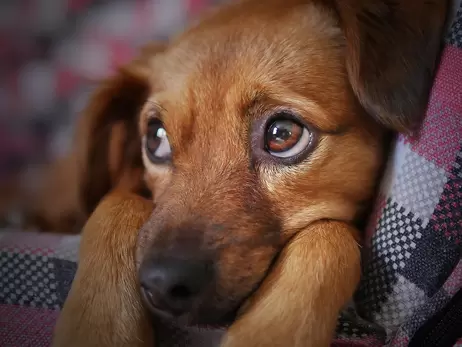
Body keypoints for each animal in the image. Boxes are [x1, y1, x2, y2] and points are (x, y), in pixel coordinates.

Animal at [50, 0, 448, 346]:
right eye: (156, 138)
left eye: (283, 134)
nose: (162, 285)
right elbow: (114, 203)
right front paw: (96, 327)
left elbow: (328, 235)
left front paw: (269, 331)